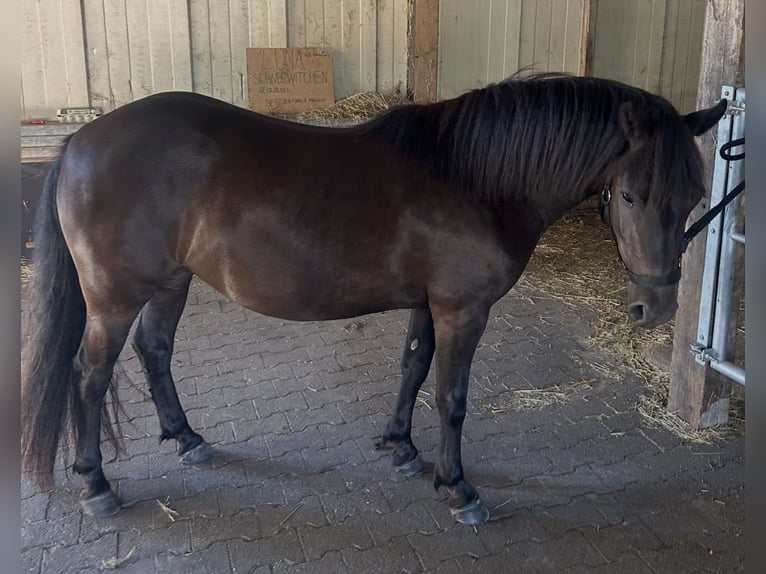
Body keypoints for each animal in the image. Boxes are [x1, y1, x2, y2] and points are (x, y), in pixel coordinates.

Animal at [21, 73, 725, 525]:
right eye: (629, 195)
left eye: (694, 193)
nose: (657, 308)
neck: (474, 179)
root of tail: (81, 140)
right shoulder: (462, 310)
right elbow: (452, 396)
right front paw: (457, 488)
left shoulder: (429, 303)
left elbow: (412, 367)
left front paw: (402, 448)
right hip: (114, 296)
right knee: (89, 374)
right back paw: (96, 484)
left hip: (171, 281)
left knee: (156, 349)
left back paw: (187, 437)